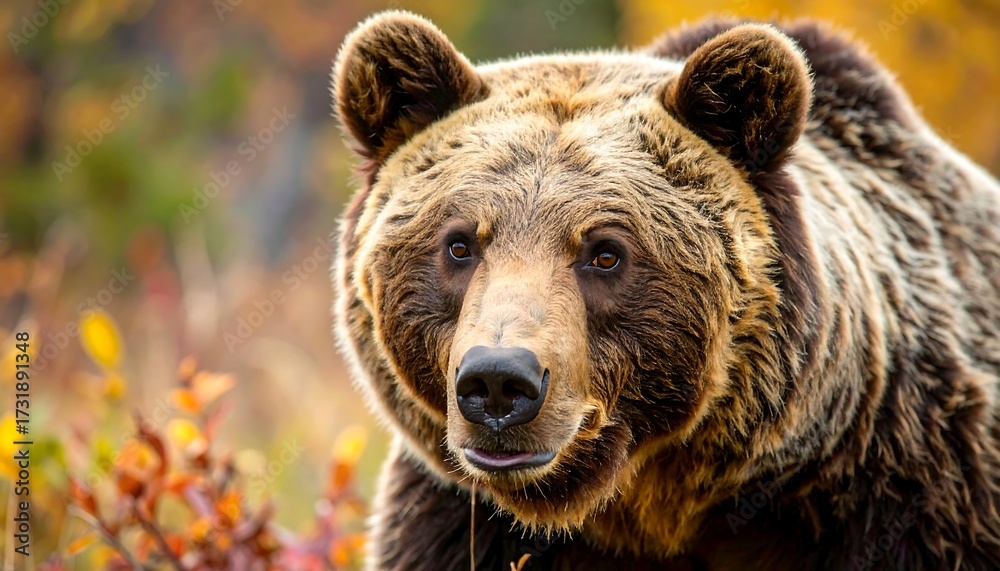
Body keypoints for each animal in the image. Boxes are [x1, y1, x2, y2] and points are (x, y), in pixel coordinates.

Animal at [331, 11, 1000, 571]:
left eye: (605, 252)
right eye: (460, 244)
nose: (499, 381)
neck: (657, 504)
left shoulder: (907, 494)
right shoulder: (455, 522)